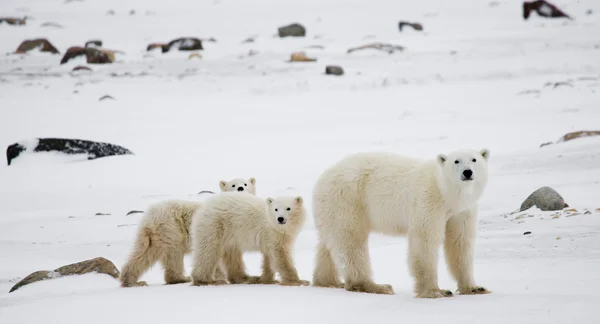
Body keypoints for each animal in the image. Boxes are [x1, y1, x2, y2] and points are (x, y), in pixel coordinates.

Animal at [119, 178, 255, 288]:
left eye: (245, 184)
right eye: (233, 185)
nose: (240, 188)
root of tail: (149, 218)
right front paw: (219, 278)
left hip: (153, 235)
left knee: (143, 253)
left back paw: (131, 281)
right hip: (172, 227)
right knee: (174, 254)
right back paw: (182, 278)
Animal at [312, 148, 490, 298]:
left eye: (474, 159)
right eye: (456, 161)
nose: (467, 172)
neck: (446, 194)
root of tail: (322, 178)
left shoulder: (462, 211)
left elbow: (460, 242)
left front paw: (475, 288)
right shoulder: (428, 201)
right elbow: (425, 240)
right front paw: (435, 291)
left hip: (332, 208)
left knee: (329, 244)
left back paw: (328, 281)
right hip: (348, 198)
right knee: (351, 242)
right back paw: (376, 286)